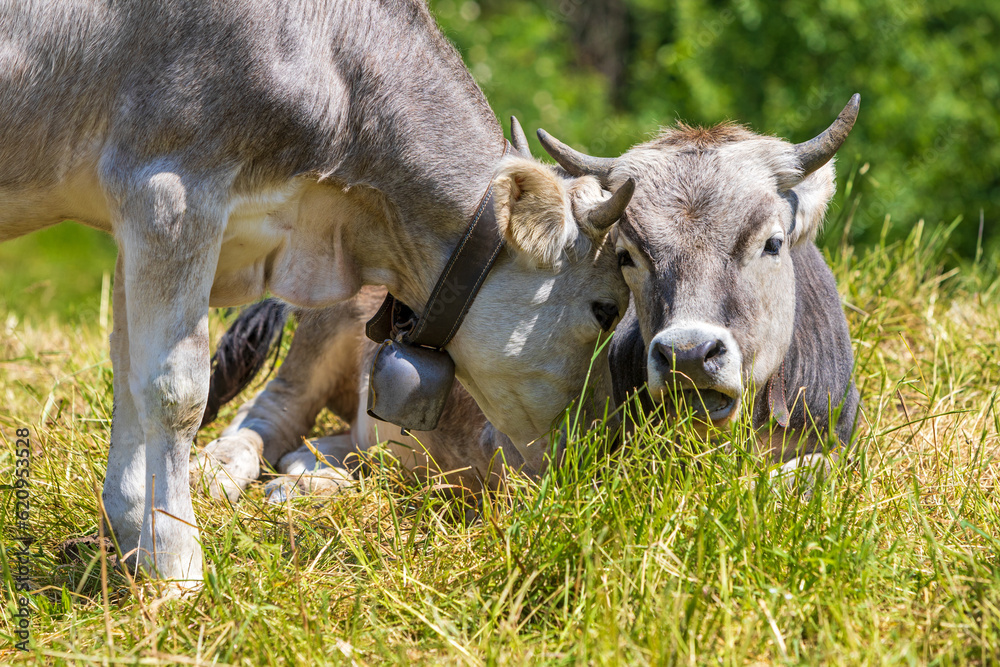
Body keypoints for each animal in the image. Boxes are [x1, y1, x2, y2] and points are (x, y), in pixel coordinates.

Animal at [0, 0, 633, 584]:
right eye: (606, 309)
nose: (595, 451)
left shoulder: (138, 220)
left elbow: (130, 372)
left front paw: (133, 531)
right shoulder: (167, 186)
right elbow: (174, 389)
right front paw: (175, 560)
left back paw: (308, 473)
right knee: (273, 409)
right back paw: (234, 472)